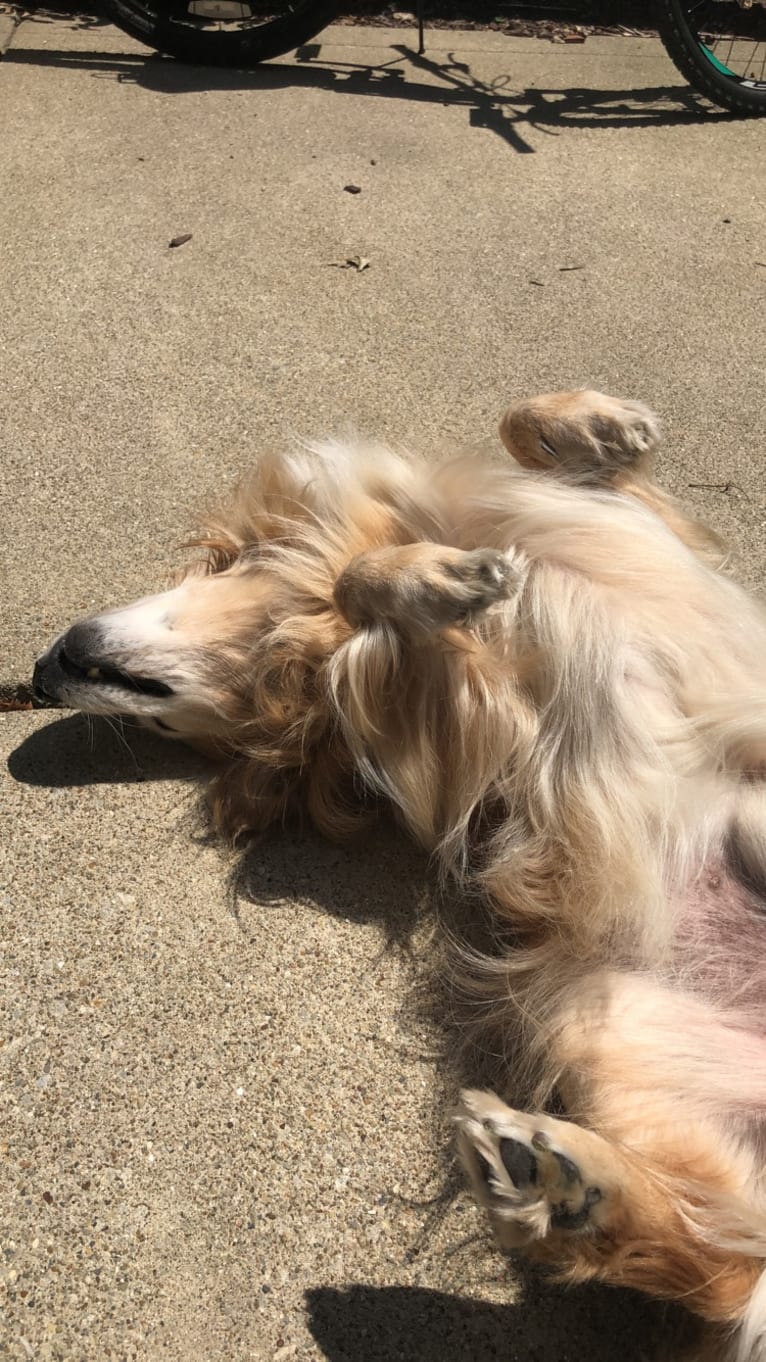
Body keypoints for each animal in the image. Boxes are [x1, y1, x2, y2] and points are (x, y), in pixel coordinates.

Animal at [35, 392, 766, 1351]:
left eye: (163, 729)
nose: (41, 670)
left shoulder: (649, 530)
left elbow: (522, 433)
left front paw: (598, 428)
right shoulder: (456, 741)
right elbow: (368, 586)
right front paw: (447, 581)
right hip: (605, 1024)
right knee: (724, 1269)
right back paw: (555, 1185)